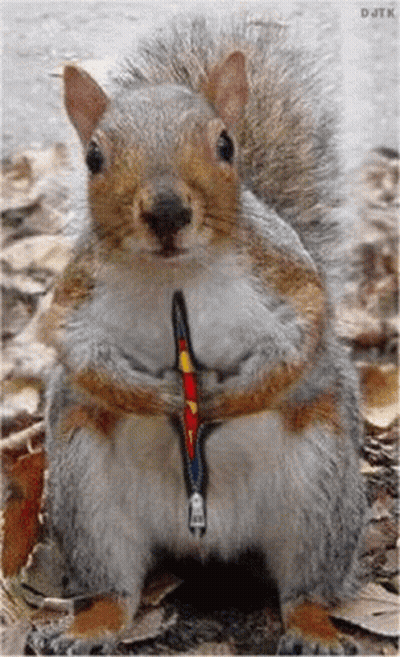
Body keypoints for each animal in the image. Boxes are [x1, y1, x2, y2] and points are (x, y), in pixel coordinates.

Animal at [5, 17, 366, 655]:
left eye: (225, 145)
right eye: (93, 157)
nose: (168, 211)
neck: (176, 275)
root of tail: (206, 535)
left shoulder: (287, 276)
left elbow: (298, 340)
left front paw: (229, 396)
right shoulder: (74, 301)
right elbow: (84, 356)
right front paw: (161, 396)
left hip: (322, 492)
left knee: (306, 584)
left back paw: (313, 627)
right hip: (86, 489)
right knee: (115, 585)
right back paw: (90, 625)